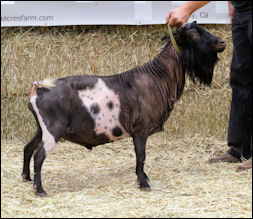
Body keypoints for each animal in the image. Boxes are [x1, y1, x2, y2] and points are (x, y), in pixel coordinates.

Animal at [22, 21, 226, 197]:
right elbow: (141, 156)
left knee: (28, 148)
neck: (157, 79)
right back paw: (40, 190)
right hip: (53, 129)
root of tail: (37, 90)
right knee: (39, 156)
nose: (222, 42)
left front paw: (142, 178)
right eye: (193, 35)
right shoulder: (141, 129)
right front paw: (144, 184)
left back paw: (26, 178)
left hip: (42, 128)